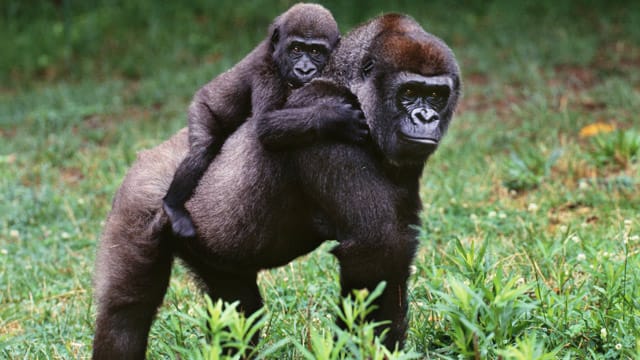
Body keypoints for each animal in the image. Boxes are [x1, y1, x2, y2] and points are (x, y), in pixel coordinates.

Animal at [162, 4, 368, 239]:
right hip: (200, 107)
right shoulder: (266, 70)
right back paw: (172, 205)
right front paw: (336, 119)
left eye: (316, 51)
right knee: (201, 151)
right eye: (296, 49)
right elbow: (264, 126)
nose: (304, 70)